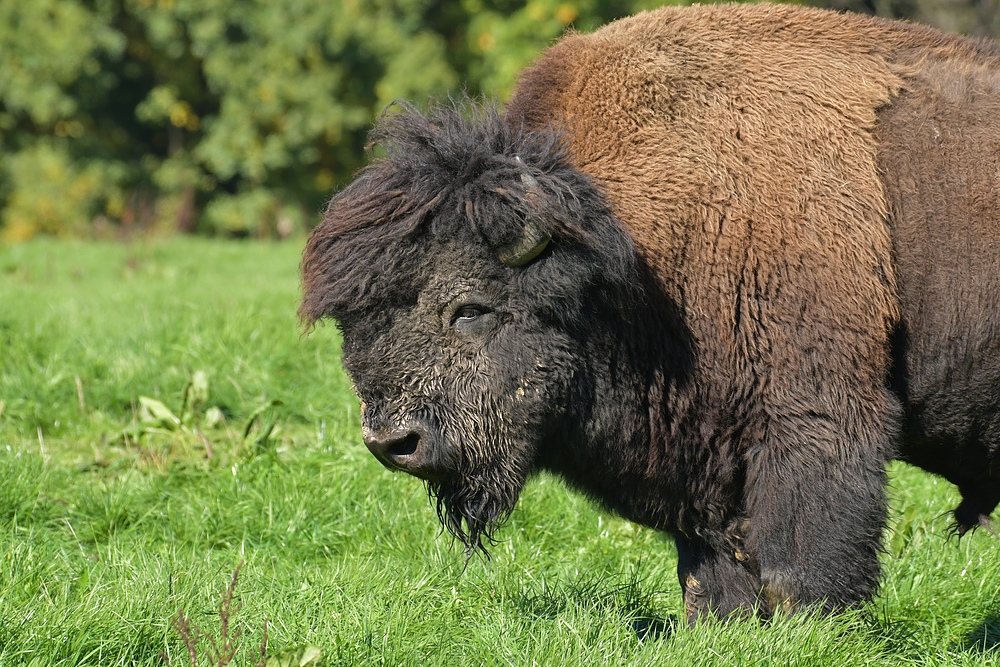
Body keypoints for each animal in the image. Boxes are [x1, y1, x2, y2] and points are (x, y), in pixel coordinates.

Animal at [298, 2, 1000, 624]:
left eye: (470, 310)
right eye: (354, 324)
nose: (393, 444)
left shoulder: (816, 422)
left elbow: (798, 562)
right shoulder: (705, 456)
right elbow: (711, 566)